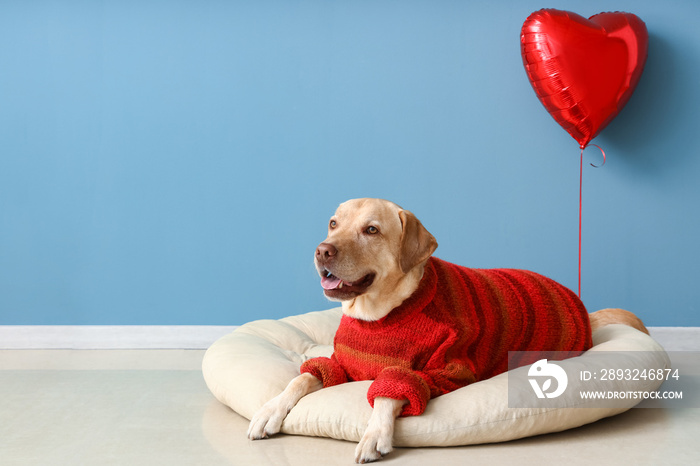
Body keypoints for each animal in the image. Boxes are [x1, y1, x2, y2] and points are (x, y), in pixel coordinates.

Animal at [247, 198, 652, 464]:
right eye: (333, 224)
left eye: (371, 230)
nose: (322, 251)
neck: (381, 314)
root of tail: (582, 308)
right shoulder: (341, 364)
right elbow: (302, 378)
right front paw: (269, 410)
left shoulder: (448, 370)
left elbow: (390, 390)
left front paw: (375, 433)